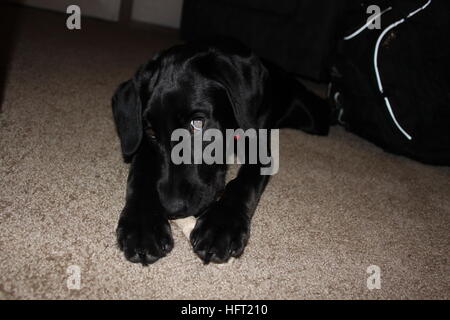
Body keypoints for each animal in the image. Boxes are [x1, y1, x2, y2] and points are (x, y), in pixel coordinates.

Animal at [112, 38, 330, 264]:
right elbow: (139, 173)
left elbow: (243, 183)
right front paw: (142, 224)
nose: (172, 208)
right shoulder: (143, 145)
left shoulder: (258, 147)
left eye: (198, 123)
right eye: (151, 132)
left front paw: (220, 225)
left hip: (313, 117)